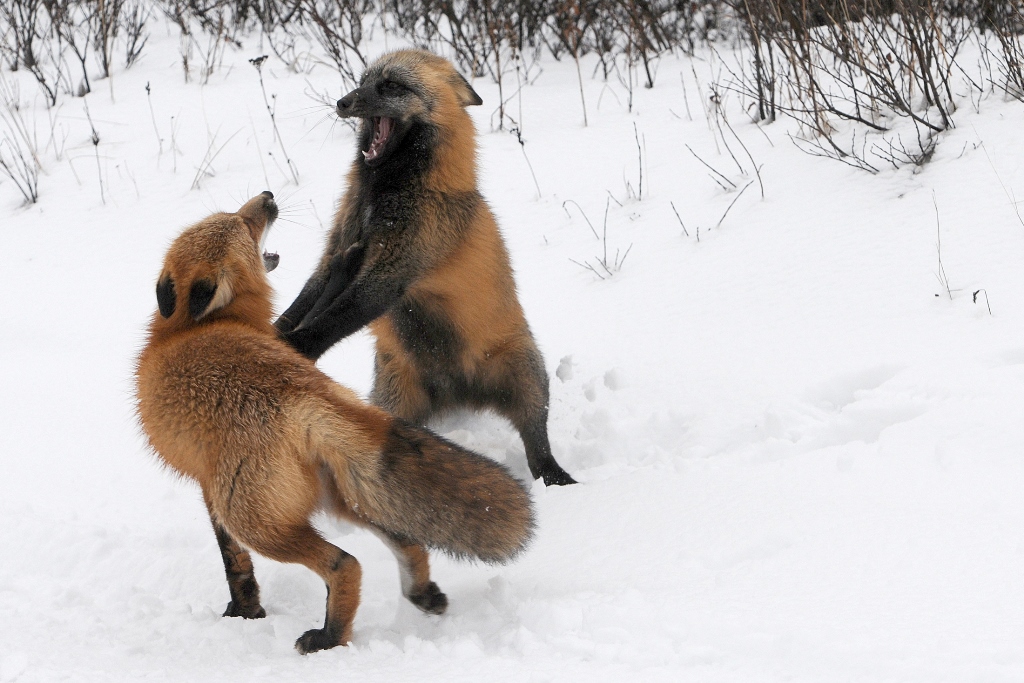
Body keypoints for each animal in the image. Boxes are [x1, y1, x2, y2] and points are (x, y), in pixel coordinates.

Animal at [135, 192, 534, 654]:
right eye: (241, 221)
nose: (268, 197)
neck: (181, 330)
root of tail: (303, 394)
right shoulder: (282, 345)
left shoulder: (212, 493)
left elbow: (232, 559)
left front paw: (244, 612)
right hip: (338, 494)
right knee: (406, 539)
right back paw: (421, 594)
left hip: (258, 520)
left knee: (346, 563)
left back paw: (329, 637)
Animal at [275, 50, 576, 486]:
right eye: (362, 82)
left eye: (391, 86)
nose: (343, 103)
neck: (380, 198)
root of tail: (458, 393)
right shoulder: (336, 253)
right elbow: (300, 306)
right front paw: (272, 333)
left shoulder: (394, 273)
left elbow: (332, 320)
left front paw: (294, 348)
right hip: (394, 398)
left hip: (529, 380)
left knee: (539, 450)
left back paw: (558, 480)